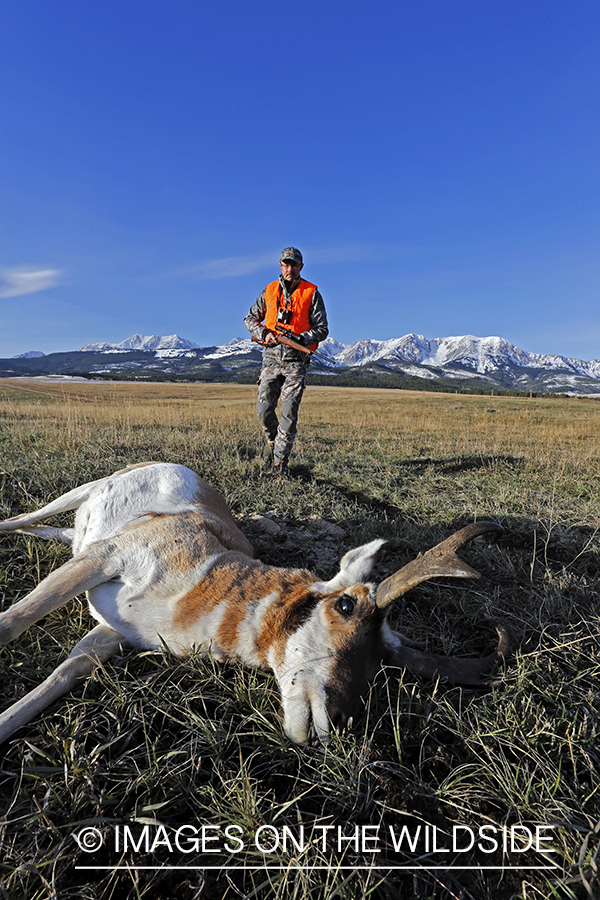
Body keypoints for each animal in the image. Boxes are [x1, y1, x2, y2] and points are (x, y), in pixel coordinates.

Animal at [0, 464, 506, 744]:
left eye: (383, 660)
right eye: (346, 607)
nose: (342, 721)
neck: (212, 576)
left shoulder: (110, 633)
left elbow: (63, 672)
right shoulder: (106, 558)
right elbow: (12, 622)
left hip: (76, 537)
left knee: (53, 532)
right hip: (80, 499)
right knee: (24, 518)